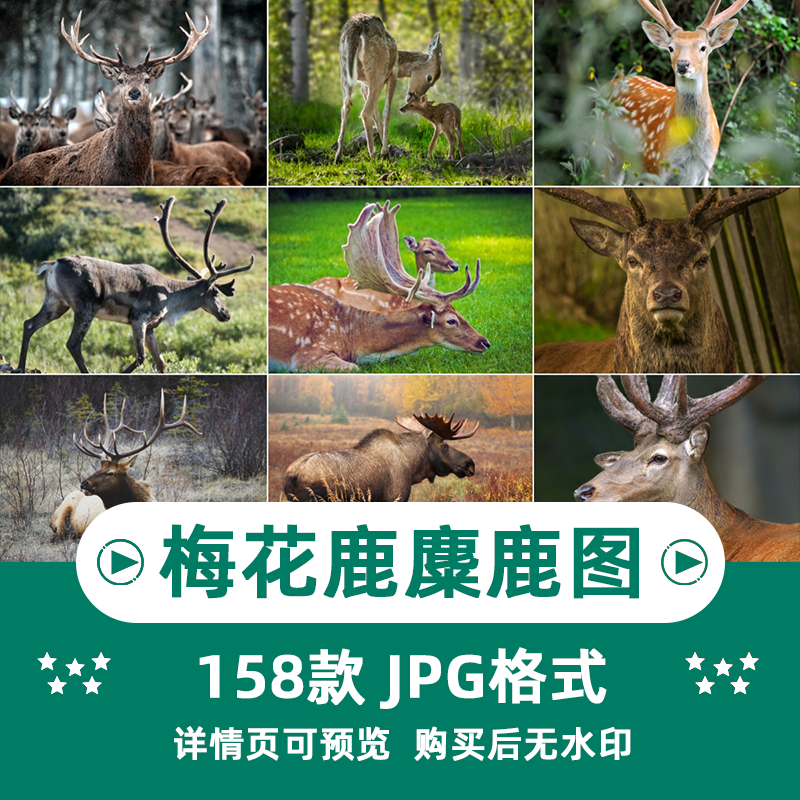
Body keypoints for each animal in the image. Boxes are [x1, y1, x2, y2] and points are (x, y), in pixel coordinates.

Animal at [16, 195, 254, 374]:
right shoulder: (138, 318)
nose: (227, 314)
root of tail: (53, 264)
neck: (171, 300)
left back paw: (20, 367)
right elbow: (140, 358)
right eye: (215, 293)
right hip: (85, 307)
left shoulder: (151, 327)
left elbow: (161, 362)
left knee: (29, 324)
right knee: (73, 344)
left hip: (56, 303)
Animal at [334, 13, 442, 164]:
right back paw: (373, 155)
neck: (399, 61)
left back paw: (338, 156)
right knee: (365, 112)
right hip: (377, 70)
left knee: (346, 107)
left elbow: (377, 115)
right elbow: (386, 112)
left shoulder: (364, 85)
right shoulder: (392, 75)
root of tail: (356, 28)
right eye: (430, 78)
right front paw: (385, 152)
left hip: (344, 69)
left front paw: (386, 151)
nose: (415, 96)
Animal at [606, 0, 752, 185]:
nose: (682, 64)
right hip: (607, 149)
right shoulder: (656, 166)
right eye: (670, 48)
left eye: (703, 47)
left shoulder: (705, 172)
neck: (692, 150)